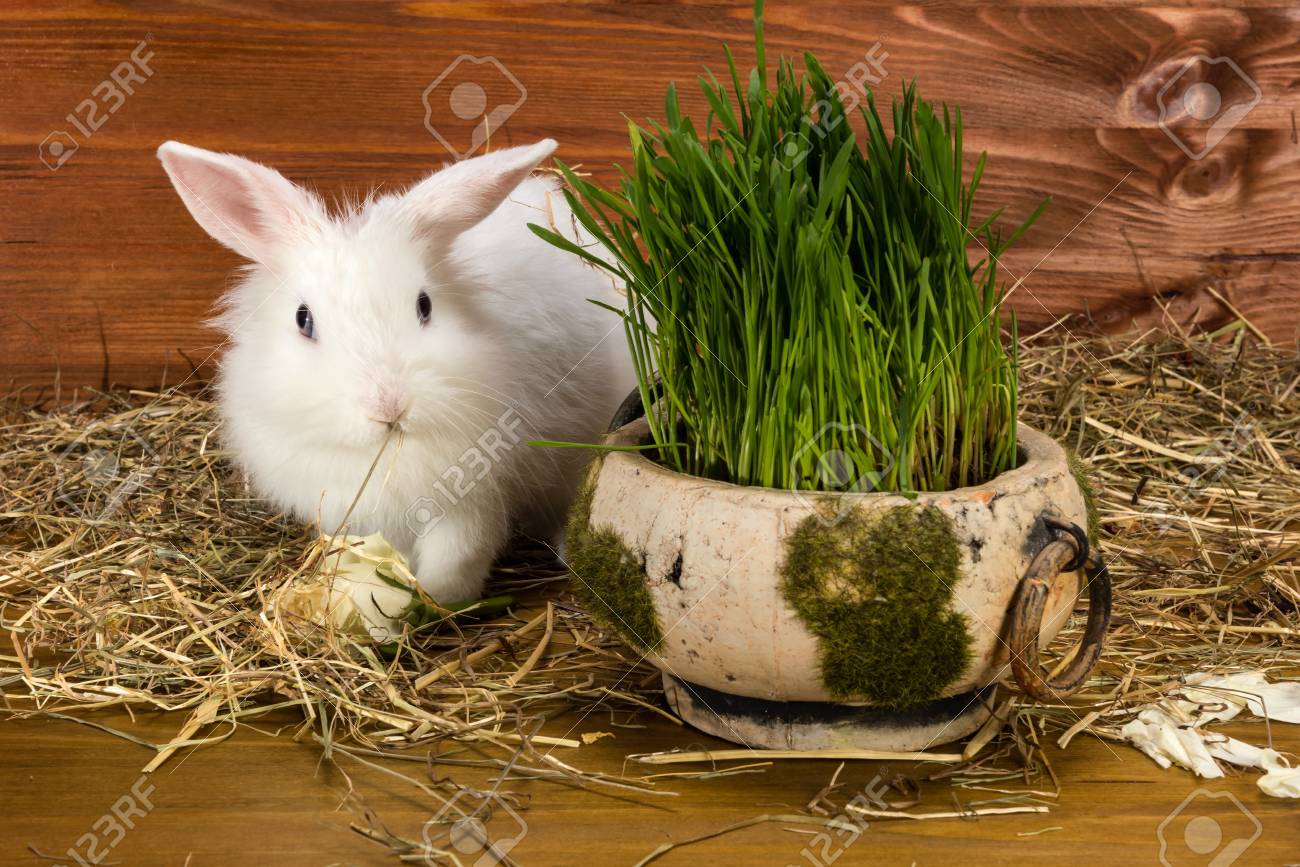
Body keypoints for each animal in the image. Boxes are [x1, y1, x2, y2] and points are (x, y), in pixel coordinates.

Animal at [157, 139, 635, 602]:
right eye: (302, 319)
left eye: (425, 305)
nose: (388, 406)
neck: (387, 452)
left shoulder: (472, 503)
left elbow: (458, 555)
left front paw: (436, 597)